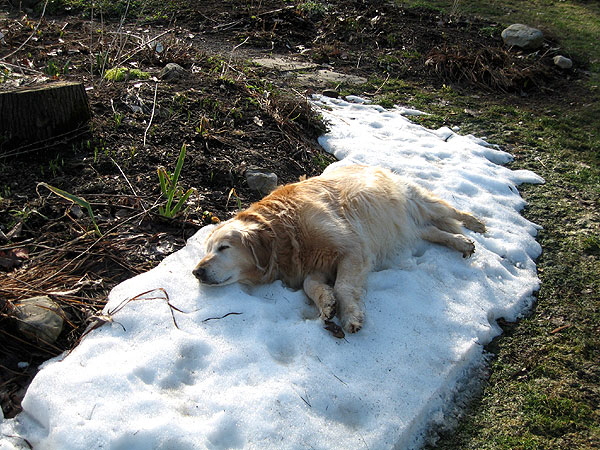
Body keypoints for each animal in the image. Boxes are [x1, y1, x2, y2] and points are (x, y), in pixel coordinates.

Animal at [195, 163, 486, 332]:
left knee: (450, 211)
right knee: (431, 231)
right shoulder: (315, 265)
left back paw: (476, 224)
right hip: (402, 226)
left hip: (419, 202)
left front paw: (349, 315)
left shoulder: (353, 250)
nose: (196, 272)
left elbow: (344, 286)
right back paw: (461, 242)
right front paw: (326, 304)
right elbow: (310, 285)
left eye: (223, 248)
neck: (285, 230)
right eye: (207, 249)